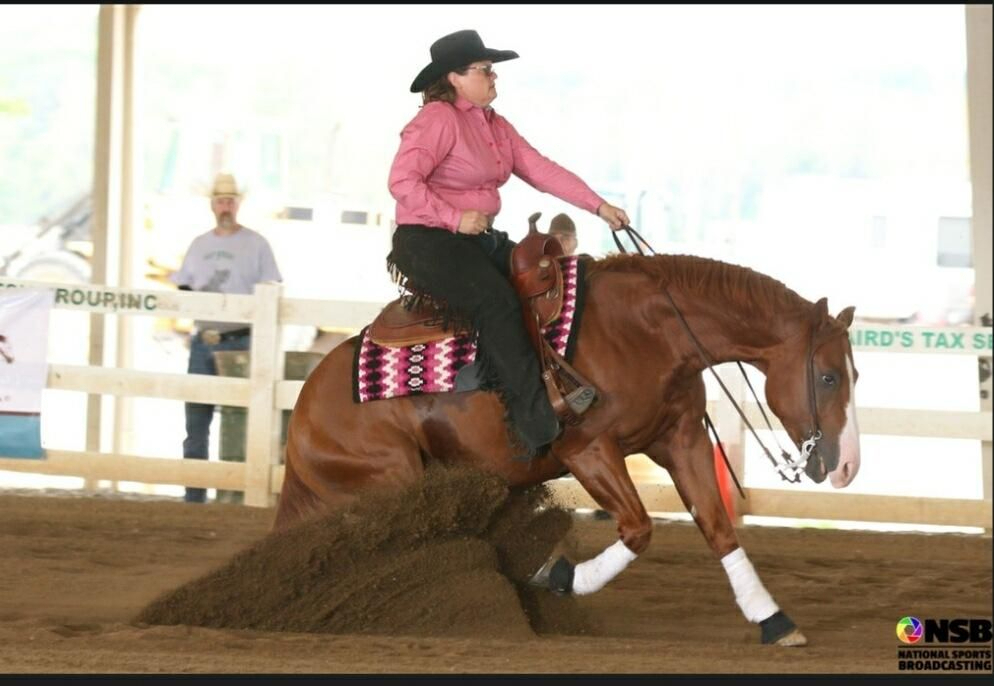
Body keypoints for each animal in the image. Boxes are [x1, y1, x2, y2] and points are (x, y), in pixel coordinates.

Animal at [274, 251, 861, 646]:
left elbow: (717, 527)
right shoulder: (589, 450)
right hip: (392, 480)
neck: (646, 330)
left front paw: (773, 619)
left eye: (853, 375)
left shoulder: (682, 439)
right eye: (829, 377)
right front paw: (558, 575)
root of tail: (304, 409)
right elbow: (638, 528)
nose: (848, 467)